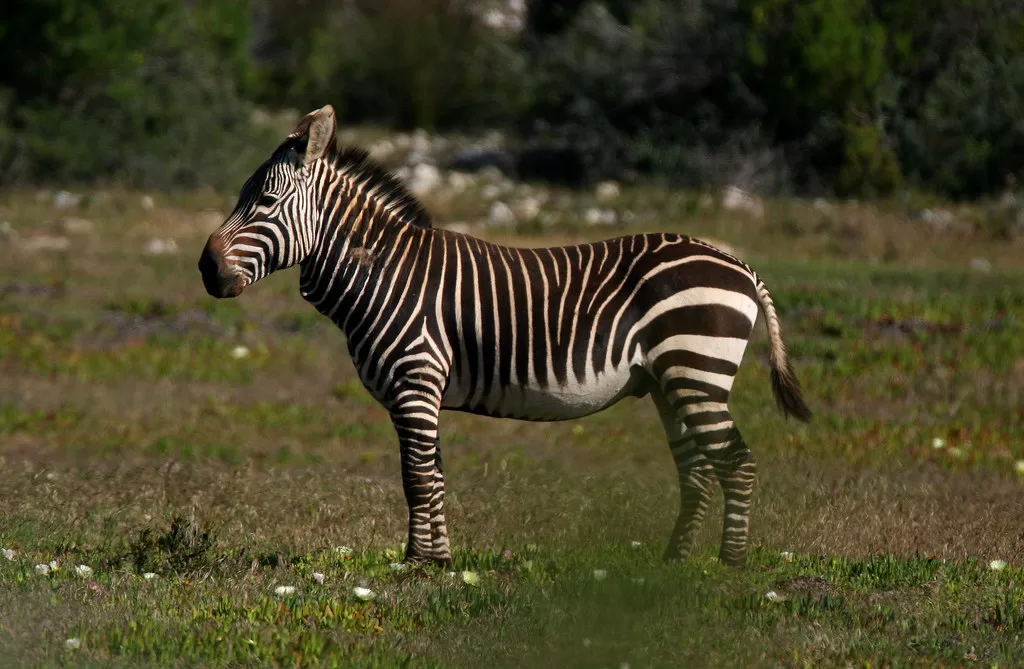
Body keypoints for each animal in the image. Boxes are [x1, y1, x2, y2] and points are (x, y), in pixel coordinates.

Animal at [197, 107, 806, 565]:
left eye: (266, 202)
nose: (206, 269)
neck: (384, 271)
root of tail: (739, 264)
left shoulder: (416, 381)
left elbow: (416, 477)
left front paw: (417, 565)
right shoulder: (421, 393)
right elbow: (431, 475)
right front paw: (437, 560)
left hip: (696, 372)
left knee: (737, 462)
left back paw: (729, 565)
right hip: (669, 383)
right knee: (698, 470)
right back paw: (673, 564)